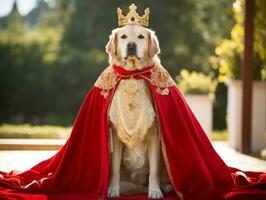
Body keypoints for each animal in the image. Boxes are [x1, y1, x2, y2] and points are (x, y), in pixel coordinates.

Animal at [106, 23, 175, 198]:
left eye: (141, 36)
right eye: (123, 36)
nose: (131, 45)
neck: (133, 75)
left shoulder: (154, 134)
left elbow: (154, 172)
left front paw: (155, 191)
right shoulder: (116, 135)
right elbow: (114, 170)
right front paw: (113, 190)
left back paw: (164, 187)